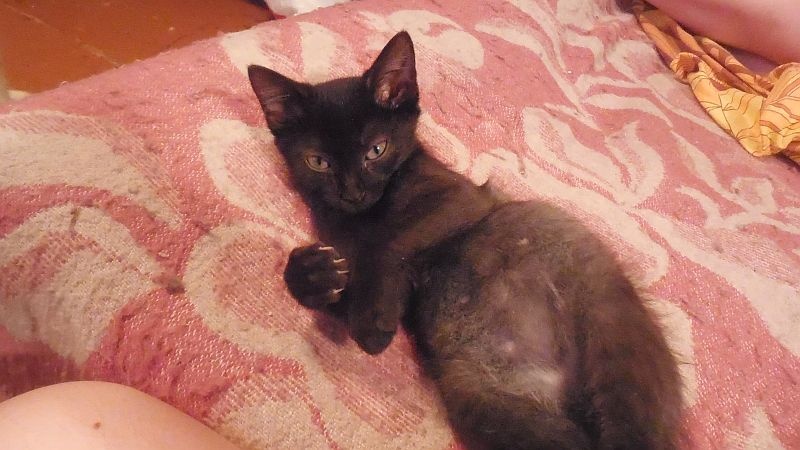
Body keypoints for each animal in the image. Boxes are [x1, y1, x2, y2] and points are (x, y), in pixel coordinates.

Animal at [248, 31, 682, 450]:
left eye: (377, 150)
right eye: (318, 162)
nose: (352, 193)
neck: (365, 217)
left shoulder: (460, 202)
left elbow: (387, 246)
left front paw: (370, 321)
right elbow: (347, 284)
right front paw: (312, 274)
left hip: (611, 338)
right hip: (480, 398)